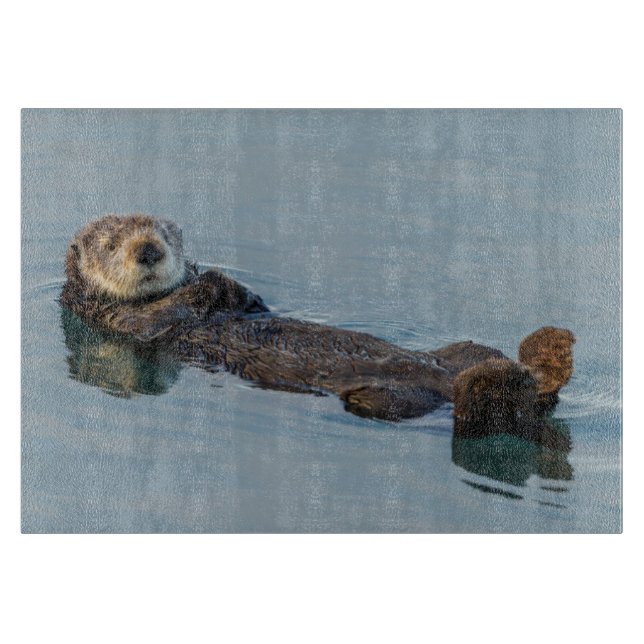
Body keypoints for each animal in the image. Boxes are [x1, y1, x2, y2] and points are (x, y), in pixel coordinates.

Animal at [60, 214, 575, 440]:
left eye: (164, 235)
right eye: (111, 243)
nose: (149, 250)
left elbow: (244, 302)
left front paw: (224, 283)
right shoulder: (123, 320)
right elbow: (161, 318)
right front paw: (208, 283)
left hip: (461, 350)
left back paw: (549, 355)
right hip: (384, 401)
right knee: (482, 413)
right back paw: (518, 374)